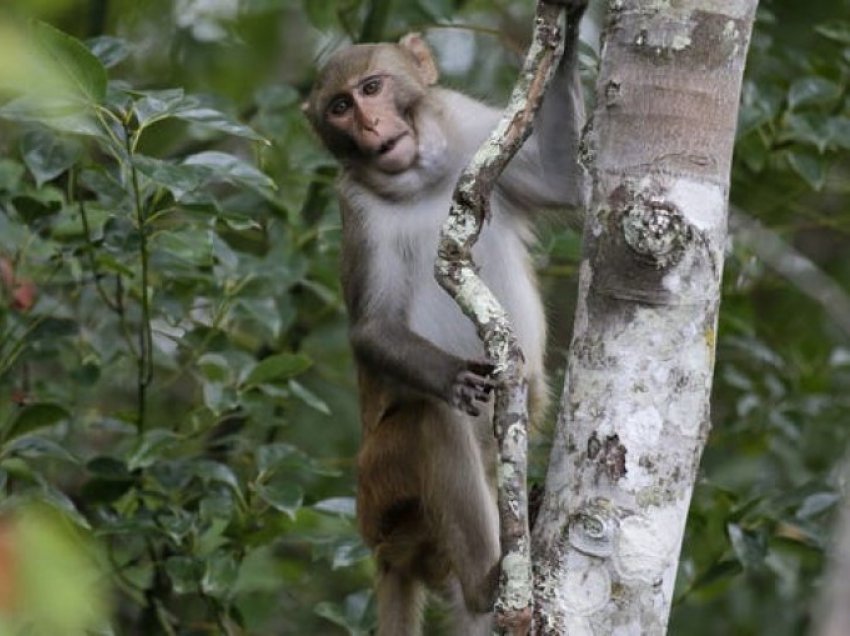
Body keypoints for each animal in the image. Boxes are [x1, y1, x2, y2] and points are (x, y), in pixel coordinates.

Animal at [302, 2, 588, 632]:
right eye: (339, 107)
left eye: (372, 88)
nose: (369, 125)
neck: (420, 179)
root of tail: (385, 551)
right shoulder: (356, 208)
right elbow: (373, 327)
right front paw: (451, 375)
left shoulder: (470, 127)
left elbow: (563, 178)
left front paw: (572, 28)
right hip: (383, 491)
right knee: (431, 420)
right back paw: (486, 582)